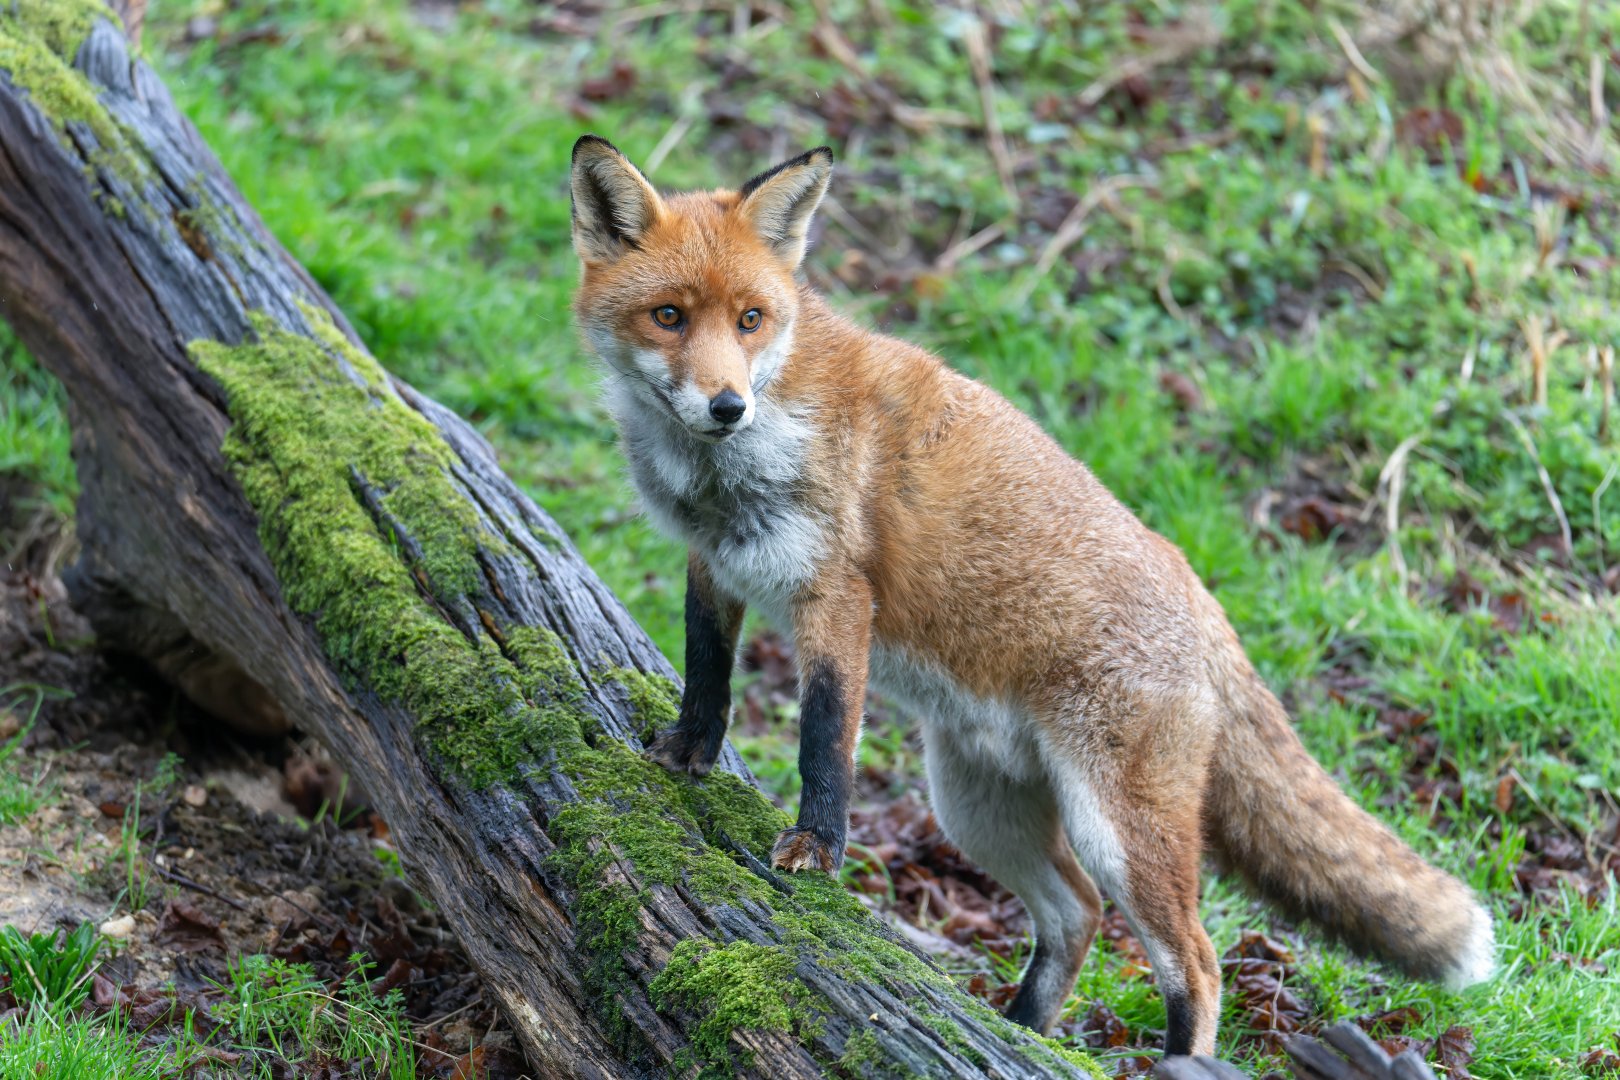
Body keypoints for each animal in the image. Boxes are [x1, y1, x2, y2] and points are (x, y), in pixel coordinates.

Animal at [567, 133, 1495, 1056]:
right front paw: (685, 756)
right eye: (670, 317)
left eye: (750, 320)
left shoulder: (836, 594)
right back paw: (1021, 1030)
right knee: (1075, 914)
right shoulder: (714, 563)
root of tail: (1206, 602)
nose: (727, 405)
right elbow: (707, 671)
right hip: (977, 807)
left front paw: (815, 849)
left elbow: (823, 736)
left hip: (1115, 829)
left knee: (1197, 963)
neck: (732, 463)